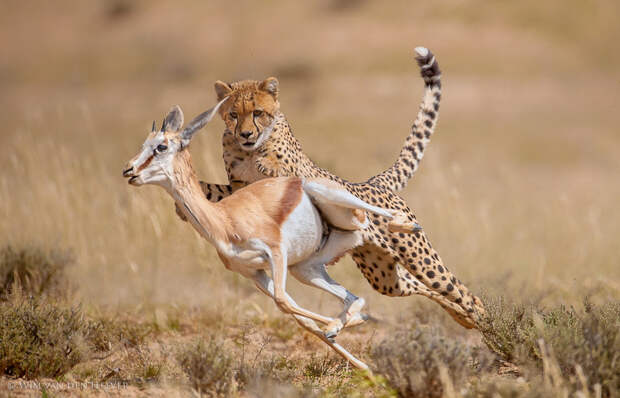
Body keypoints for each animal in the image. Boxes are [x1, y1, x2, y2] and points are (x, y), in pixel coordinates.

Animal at [179, 49, 484, 330]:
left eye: (258, 113)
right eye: (233, 114)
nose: (245, 134)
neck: (250, 151)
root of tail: (372, 182)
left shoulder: (296, 177)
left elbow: (282, 175)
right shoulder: (238, 189)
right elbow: (217, 193)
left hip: (419, 258)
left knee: (458, 288)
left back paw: (483, 320)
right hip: (383, 275)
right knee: (420, 286)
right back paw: (464, 318)